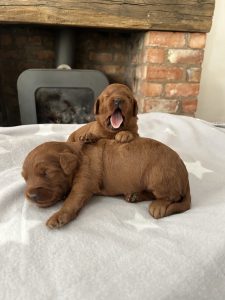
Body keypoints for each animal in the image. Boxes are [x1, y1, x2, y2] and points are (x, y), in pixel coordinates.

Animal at [22, 139, 192, 230]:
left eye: (46, 173)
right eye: (25, 178)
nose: (30, 195)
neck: (77, 155)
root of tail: (185, 175)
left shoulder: (85, 180)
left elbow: (72, 199)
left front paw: (58, 216)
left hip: (159, 176)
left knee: (170, 197)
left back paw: (158, 206)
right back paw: (134, 196)